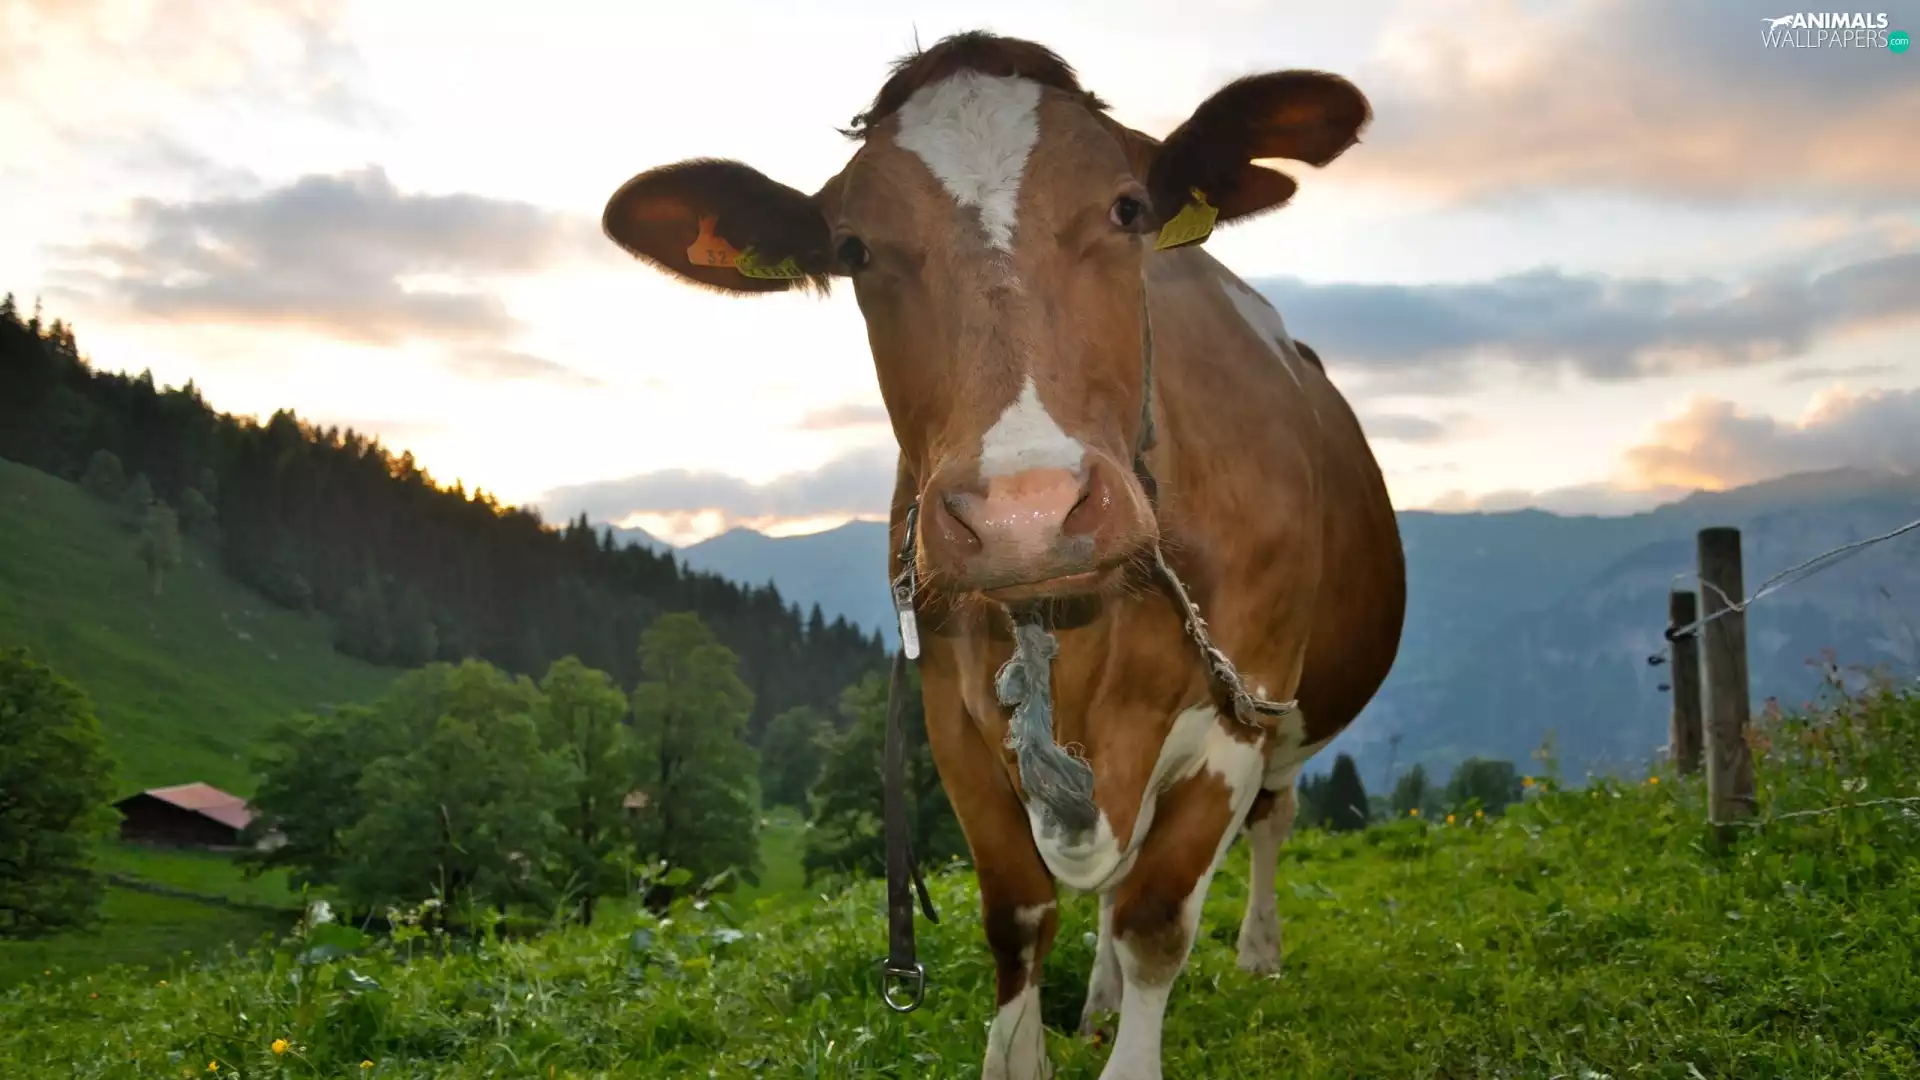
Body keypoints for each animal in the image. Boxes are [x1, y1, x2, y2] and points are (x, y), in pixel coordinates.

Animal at [599, 30, 1406, 1080]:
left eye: (1128, 207)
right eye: (854, 250)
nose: (1027, 513)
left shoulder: (1245, 695)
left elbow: (1156, 918)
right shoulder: (951, 715)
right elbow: (1020, 917)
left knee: (1271, 818)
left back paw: (1258, 955)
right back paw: (1099, 1001)